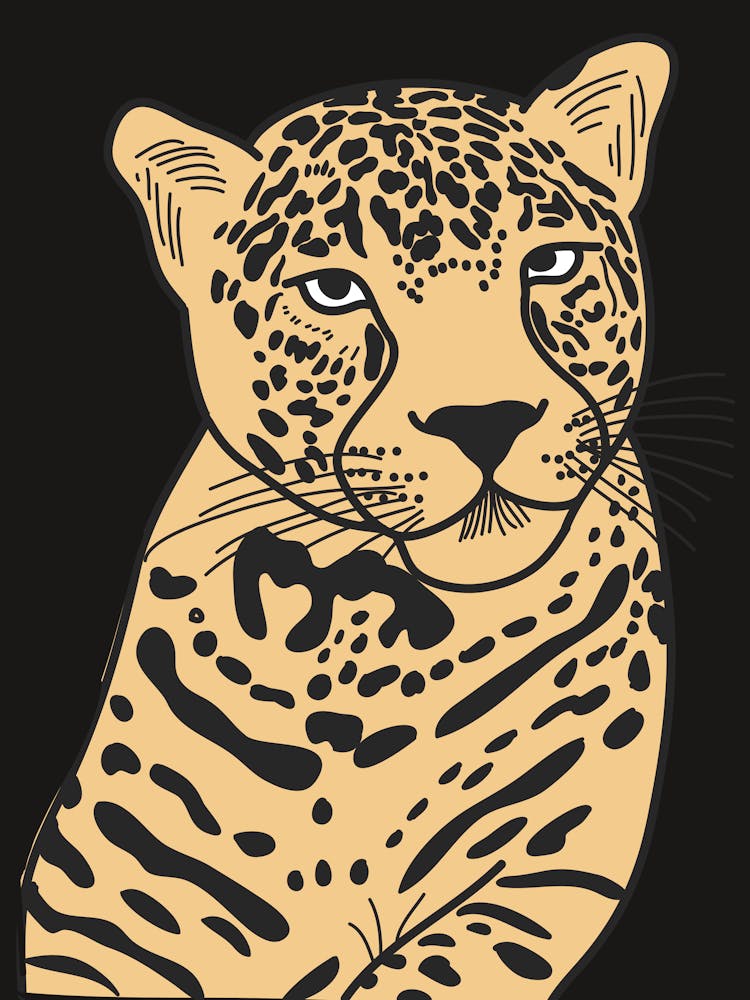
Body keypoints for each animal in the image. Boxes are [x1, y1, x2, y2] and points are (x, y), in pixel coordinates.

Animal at [19, 37, 675, 1000]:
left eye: (552, 265)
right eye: (333, 291)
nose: (487, 420)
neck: (378, 655)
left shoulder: (540, 872)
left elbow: (421, 976)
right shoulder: (98, 908)